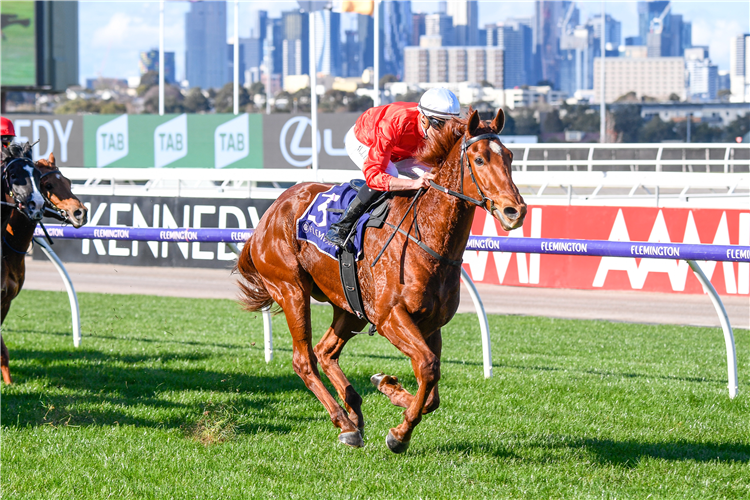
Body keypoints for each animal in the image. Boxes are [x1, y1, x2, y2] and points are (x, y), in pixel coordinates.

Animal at [236, 109, 528, 454]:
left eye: (509, 156)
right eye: (480, 159)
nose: (515, 211)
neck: (427, 237)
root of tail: (270, 213)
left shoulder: (431, 324)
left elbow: (432, 389)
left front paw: (389, 388)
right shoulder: (390, 316)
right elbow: (428, 367)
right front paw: (399, 433)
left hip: (349, 305)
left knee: (325, 352)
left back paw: (354, 410)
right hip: (291, 290)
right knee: (304, 359)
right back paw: (344, 422)